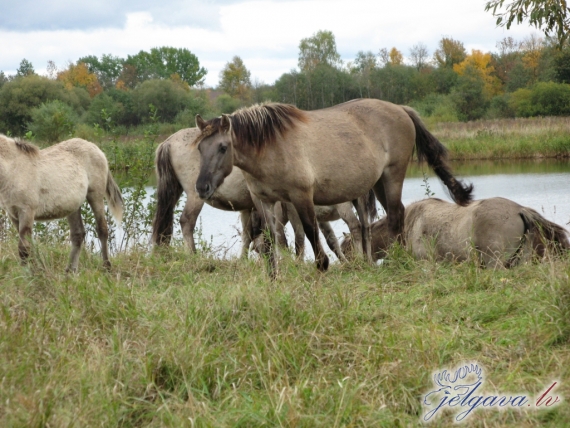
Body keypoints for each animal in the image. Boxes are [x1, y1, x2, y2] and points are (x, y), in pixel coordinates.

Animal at [0, 134, 123, 270]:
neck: (13, 169)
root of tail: (96, 148)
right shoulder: (13, 214)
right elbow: (29, 246)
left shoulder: (26, 211)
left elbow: (24, 249)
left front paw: (32, 273)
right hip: (73, 205)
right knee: (78, 234)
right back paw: (70, 271)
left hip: (95, 195)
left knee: (102, 229)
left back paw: (106, 267)